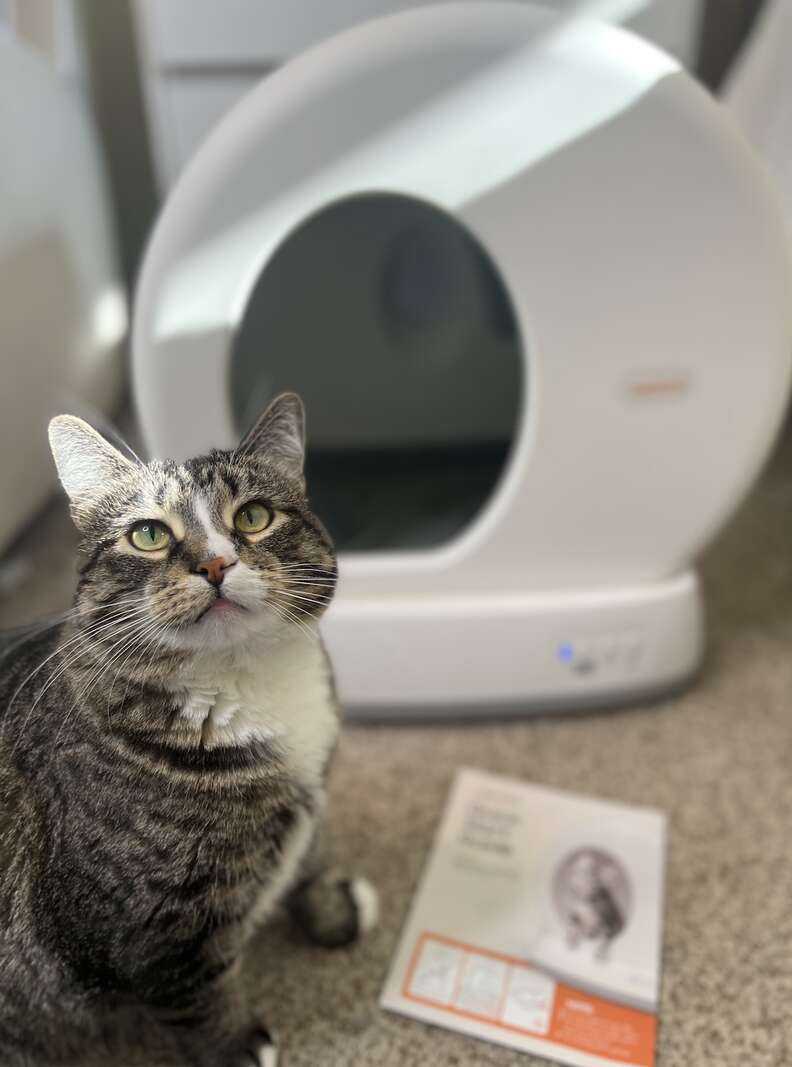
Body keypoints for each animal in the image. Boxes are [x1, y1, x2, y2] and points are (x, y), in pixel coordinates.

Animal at [0, 394, 377, 1067]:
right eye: (148, 534)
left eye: (253, 516)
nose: (216, 562)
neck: (247, 685)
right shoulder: (161, 933)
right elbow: (199, 999)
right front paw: (243, 1047)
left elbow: (312, 851)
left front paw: (334, 908)